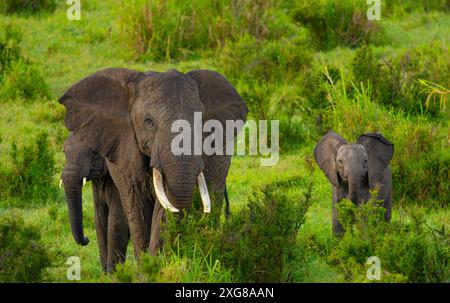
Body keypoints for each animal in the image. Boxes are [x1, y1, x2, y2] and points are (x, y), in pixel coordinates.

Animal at [58, 68, 248, 256]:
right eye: (148, 121)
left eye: (201, 121)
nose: (85, 240)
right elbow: (137, 209)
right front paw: (146, 263)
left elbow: (163, 209)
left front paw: (156, 261)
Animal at [61, 135, 130, 274]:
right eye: (64, 152)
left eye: (94, 153)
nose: (87, 239)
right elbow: (100, 221)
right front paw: (105, 274)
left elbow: (117, 223)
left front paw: (114, 274)